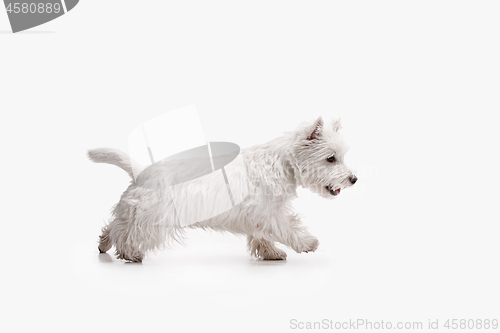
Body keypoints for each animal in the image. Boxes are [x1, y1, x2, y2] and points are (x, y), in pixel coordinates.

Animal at [88, 117, 358, 262]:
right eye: (330, 158)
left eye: (341, 157)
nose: (354, 179)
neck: (283, 164)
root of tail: (140, 171)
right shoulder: (268, 212)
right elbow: (287, 228)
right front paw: (308, 243)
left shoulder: (260, 215)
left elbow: (262, 236)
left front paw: (271, 253)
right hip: (151, 216)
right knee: (127, 233)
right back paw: (130, 254)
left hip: (133, 210)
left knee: (115, 225)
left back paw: (103, 245)